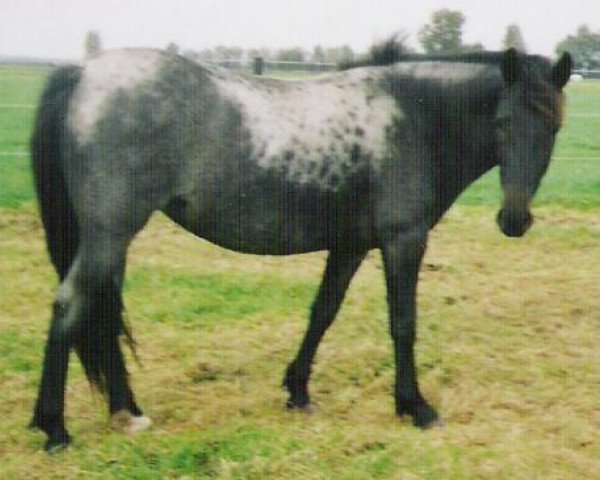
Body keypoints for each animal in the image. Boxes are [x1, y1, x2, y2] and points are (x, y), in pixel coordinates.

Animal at [28, 47, 572, 452]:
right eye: (502, 122)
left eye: (553, 127)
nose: (514, 219)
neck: (416, 114)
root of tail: (84, 71)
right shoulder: (403, 239)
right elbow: (403, 324)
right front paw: (414, 406)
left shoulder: (351, 245)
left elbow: (322, 312)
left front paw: (298, 391)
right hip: (108, 235)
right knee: (69, 307)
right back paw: (54, 428)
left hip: (111, 241)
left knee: (101, 313)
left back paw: (128, 413)